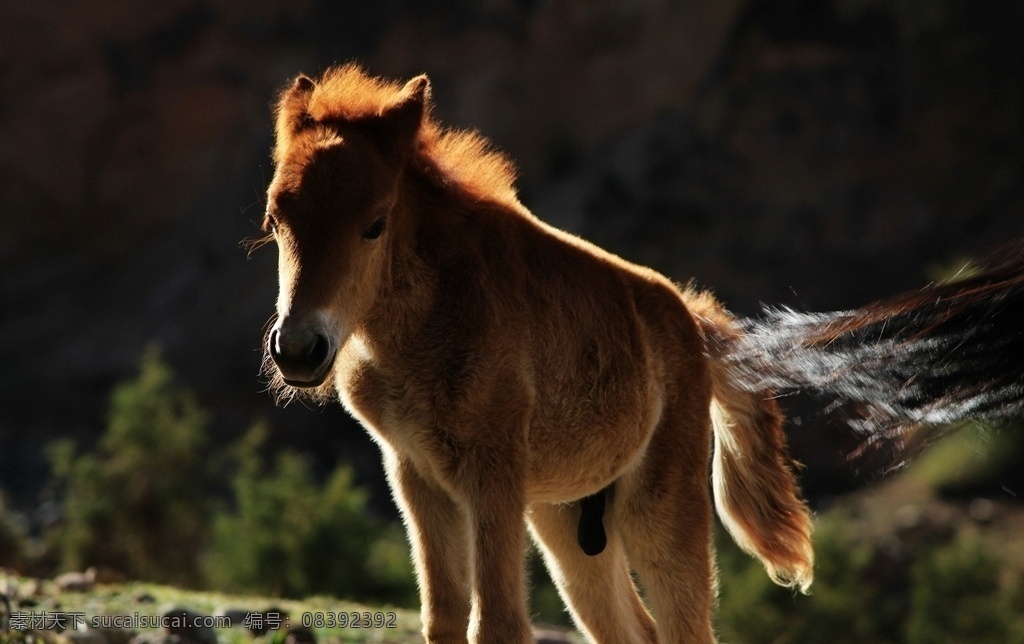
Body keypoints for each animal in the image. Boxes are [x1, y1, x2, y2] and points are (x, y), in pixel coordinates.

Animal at [256, 64, 1024, 643]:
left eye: (374, 224)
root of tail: (694, 326)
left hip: (659, 511)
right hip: (566, 520)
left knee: (684, 631)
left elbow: (498, 624)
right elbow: (445, 622)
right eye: (275, 218)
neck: (426, 320)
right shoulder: (416, 474)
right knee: (633, 631)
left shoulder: (489, 473)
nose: (299, 349)